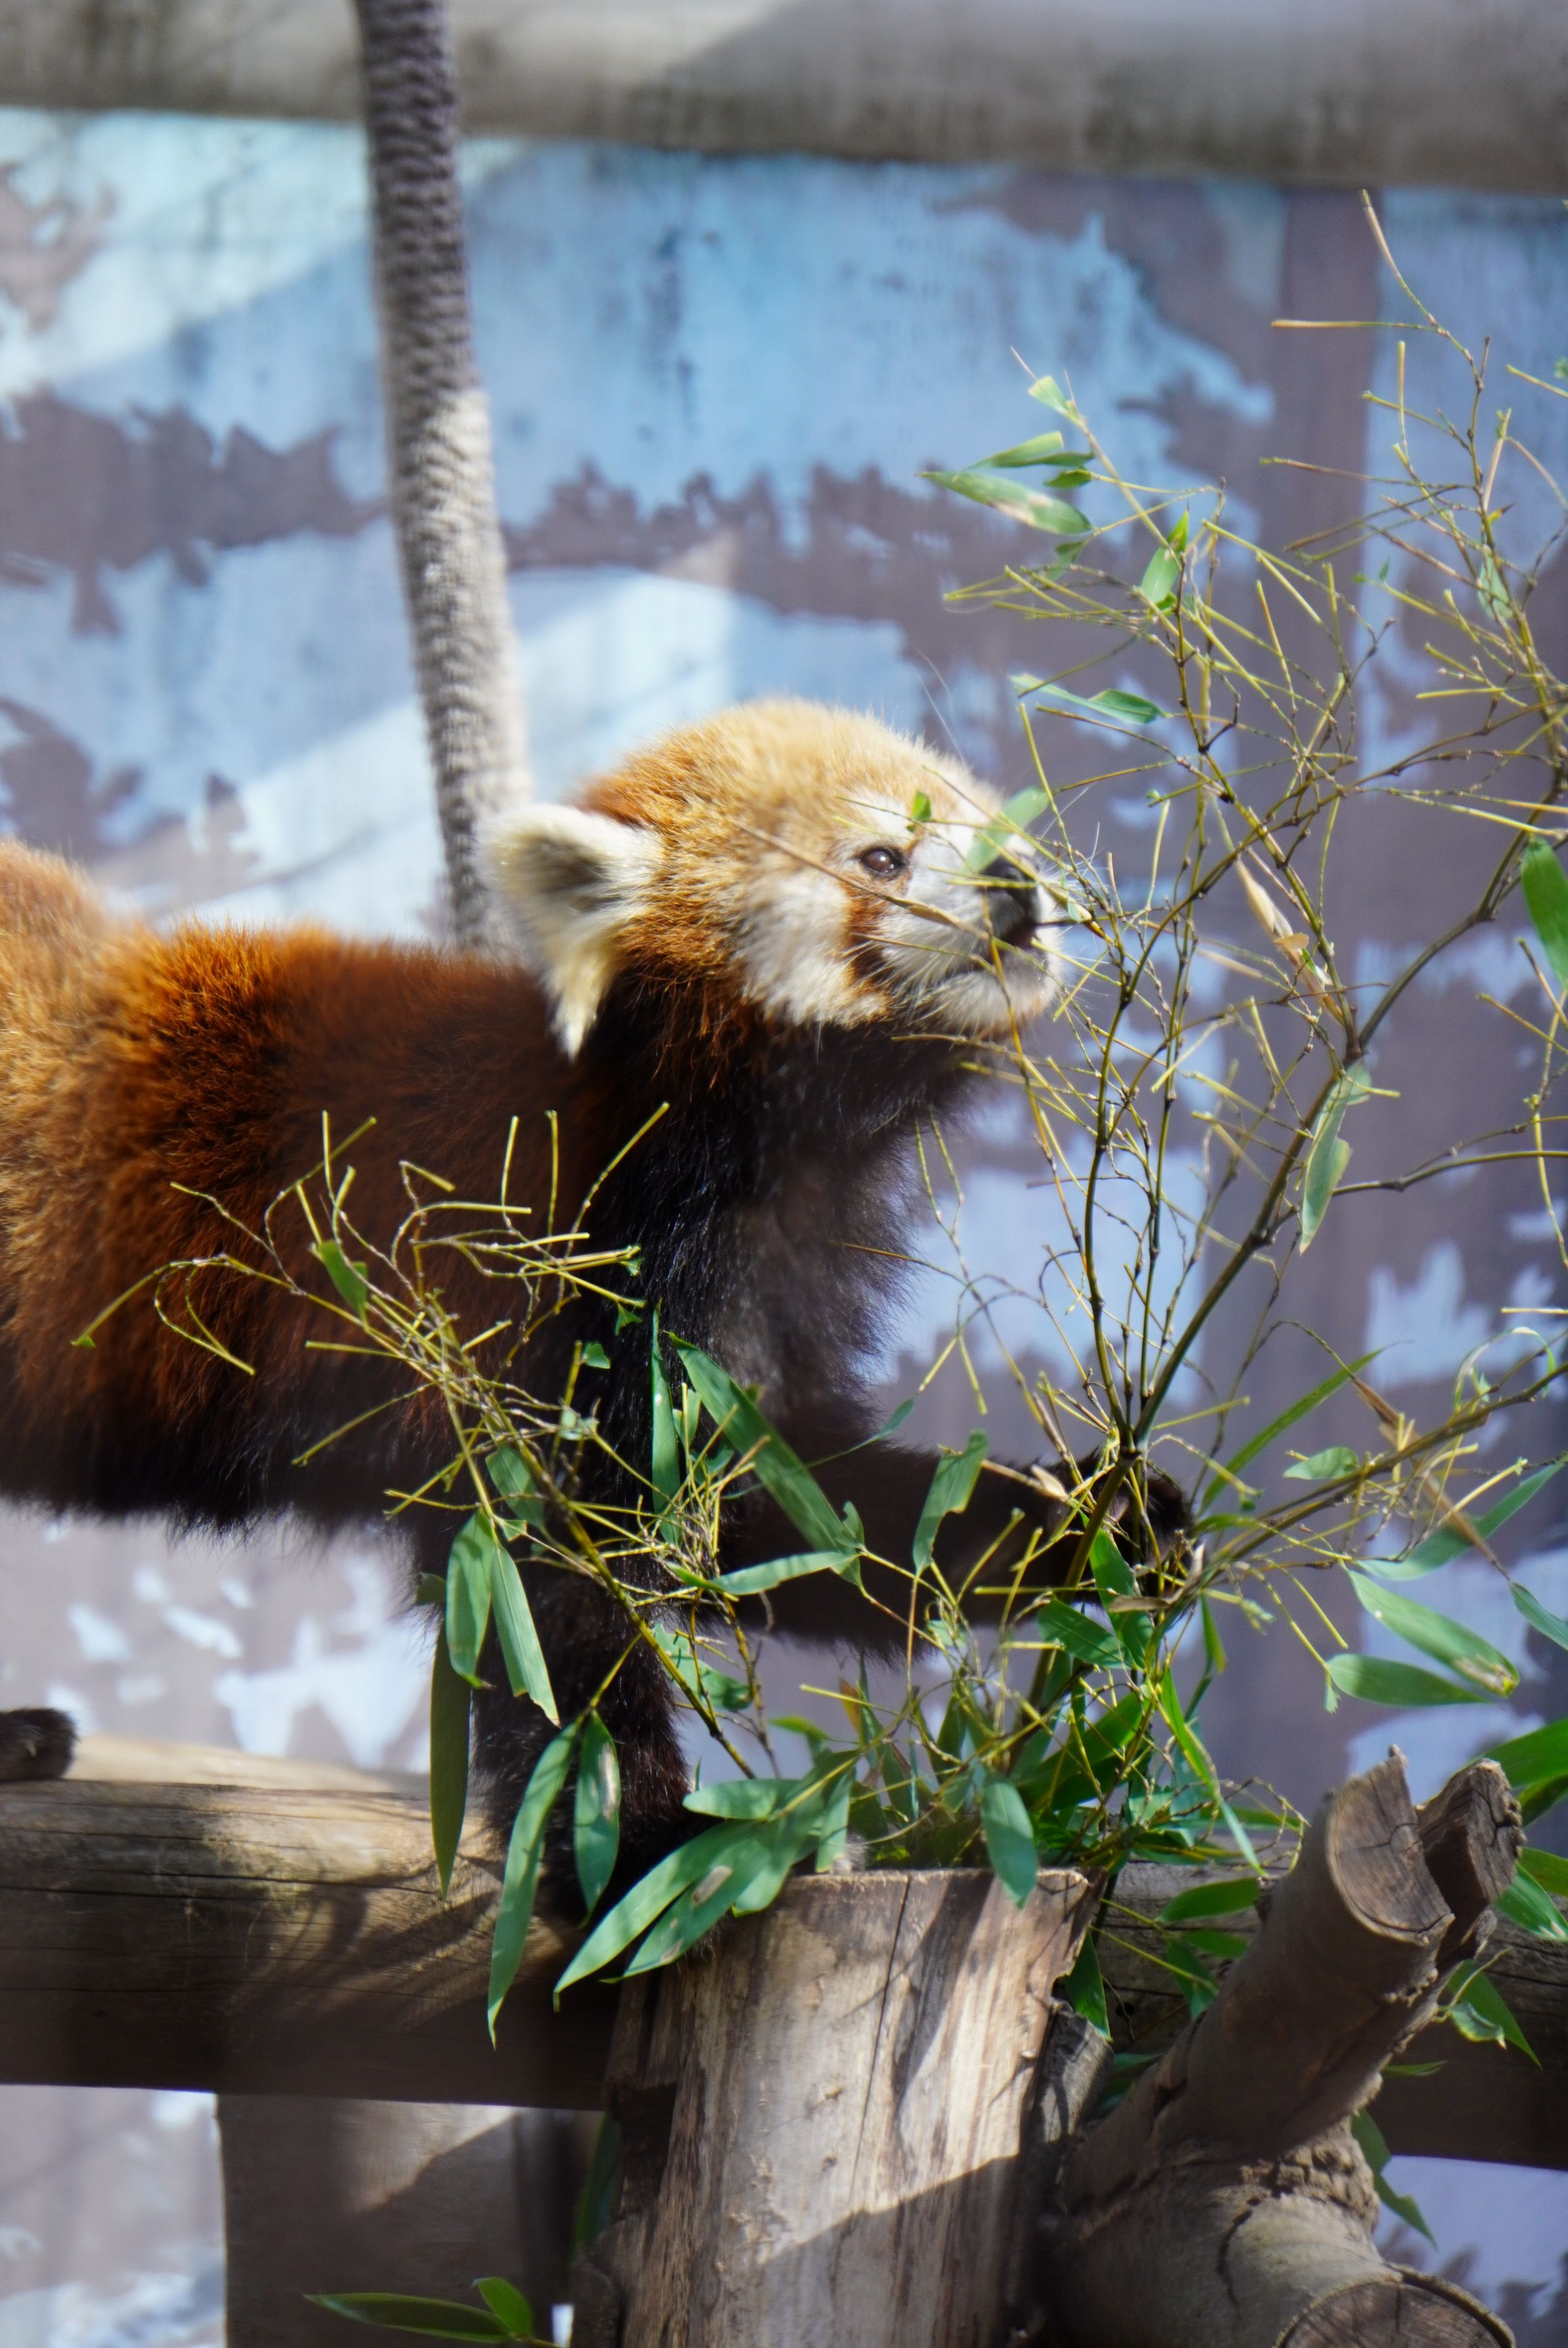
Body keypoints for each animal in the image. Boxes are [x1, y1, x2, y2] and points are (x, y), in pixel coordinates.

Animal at [0, 697, 1180, 1873]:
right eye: (882, 856)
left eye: (1001, 831)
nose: (1018, 886)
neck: (742, 1140)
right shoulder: (537, 1288)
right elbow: (553, 1586)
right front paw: (653, 1842)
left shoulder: (754, 1307)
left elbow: (786, 1511)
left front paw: (1087, 1521)